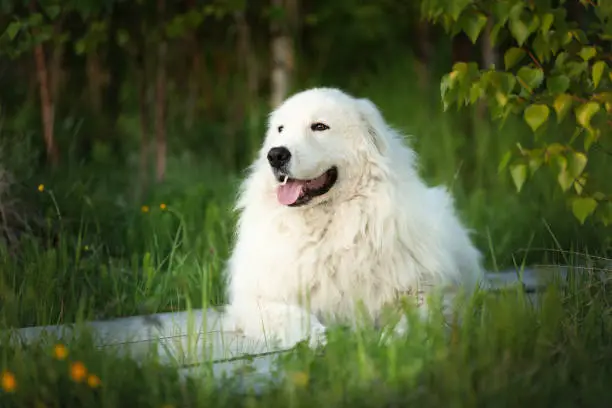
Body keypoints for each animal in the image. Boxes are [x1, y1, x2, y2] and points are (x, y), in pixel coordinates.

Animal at [222, 87, 486, 350]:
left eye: (319, 127)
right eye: (281, 129)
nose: (275, 155)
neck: (326, 228)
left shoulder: (429, 291)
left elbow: (414, 319)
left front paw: (392, 343)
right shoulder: (255, 300)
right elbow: (291, 317)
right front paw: (320, 338)